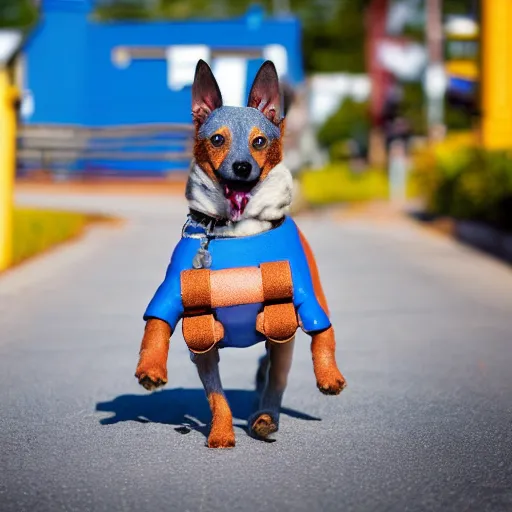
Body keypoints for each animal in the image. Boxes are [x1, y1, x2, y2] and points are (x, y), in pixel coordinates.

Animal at [134, 60, 346, 448]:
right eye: (217, 139)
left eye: (259, 141)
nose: (243, 167)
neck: (237, 228)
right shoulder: (188, 321)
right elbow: (158, 327)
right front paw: (152, 369)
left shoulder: (305, 299)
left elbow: (323, 334)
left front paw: (329, 376)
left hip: (285, 336)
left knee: (275, 380)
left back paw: (265, 417)